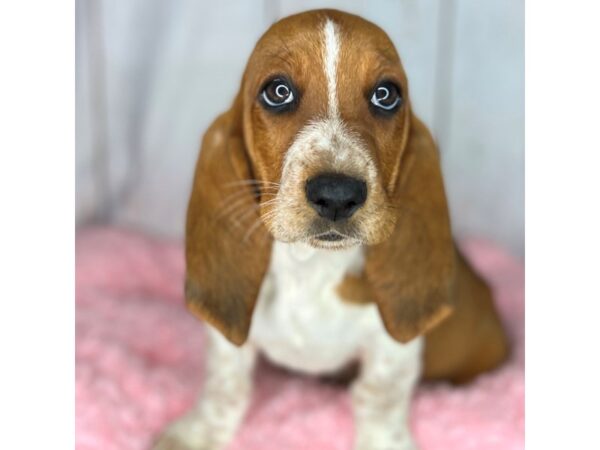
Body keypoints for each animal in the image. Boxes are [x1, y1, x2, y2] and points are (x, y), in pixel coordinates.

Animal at [152, 7, 508, 450]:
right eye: (278, 92)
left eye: (386, 95)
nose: (337, 194)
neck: (311, 269)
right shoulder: (229, 338)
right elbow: (226, 384)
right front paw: (199, 434)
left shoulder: (392, 347)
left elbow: (378, 397)